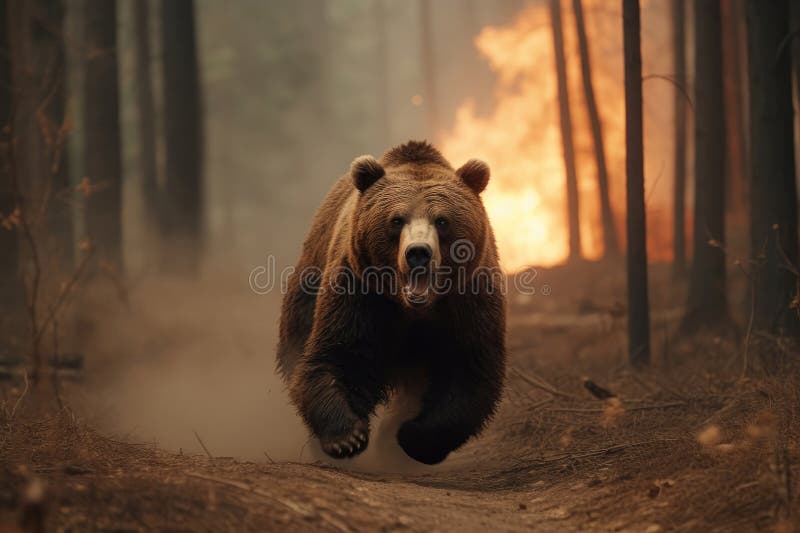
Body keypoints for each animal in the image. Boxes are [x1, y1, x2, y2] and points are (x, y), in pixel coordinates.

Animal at [277, 140, 506, 465]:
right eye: (397, 220)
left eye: (442, 221)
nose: (418, 252)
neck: (413, 308)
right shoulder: (360, 292)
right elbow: (338, 355)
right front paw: (347, 437)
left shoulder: (468, 299)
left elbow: (468, 369)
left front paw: (410, 436)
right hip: (307, 288)